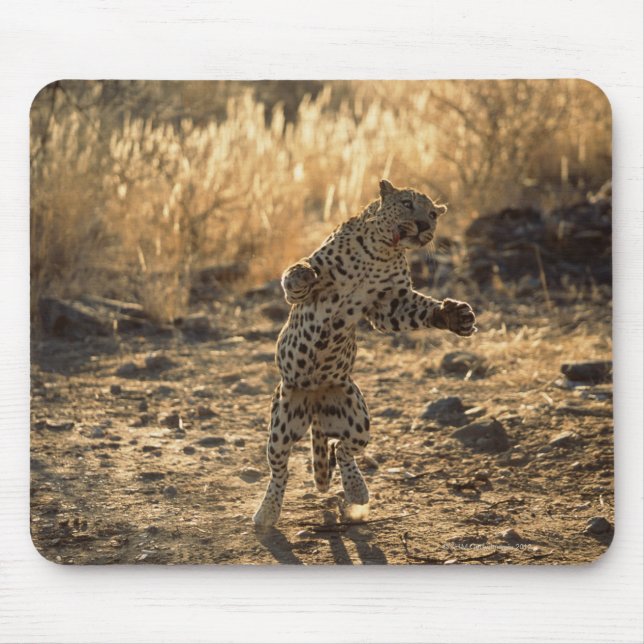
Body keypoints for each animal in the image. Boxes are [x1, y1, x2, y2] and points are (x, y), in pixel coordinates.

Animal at [253, 179, 477, 527]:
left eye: (432, 214)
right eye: (407, 203)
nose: (424, 226)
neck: (380, 252)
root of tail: (315, 399)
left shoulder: (389, 304)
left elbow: (416, 310)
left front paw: (454, 316)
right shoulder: (311, 291)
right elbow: (298, 278)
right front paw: (303, 273)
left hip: (358, 417)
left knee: (342, 449)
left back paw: (357, 492)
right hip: (281, 421)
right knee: (280, 469)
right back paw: (266, 513)